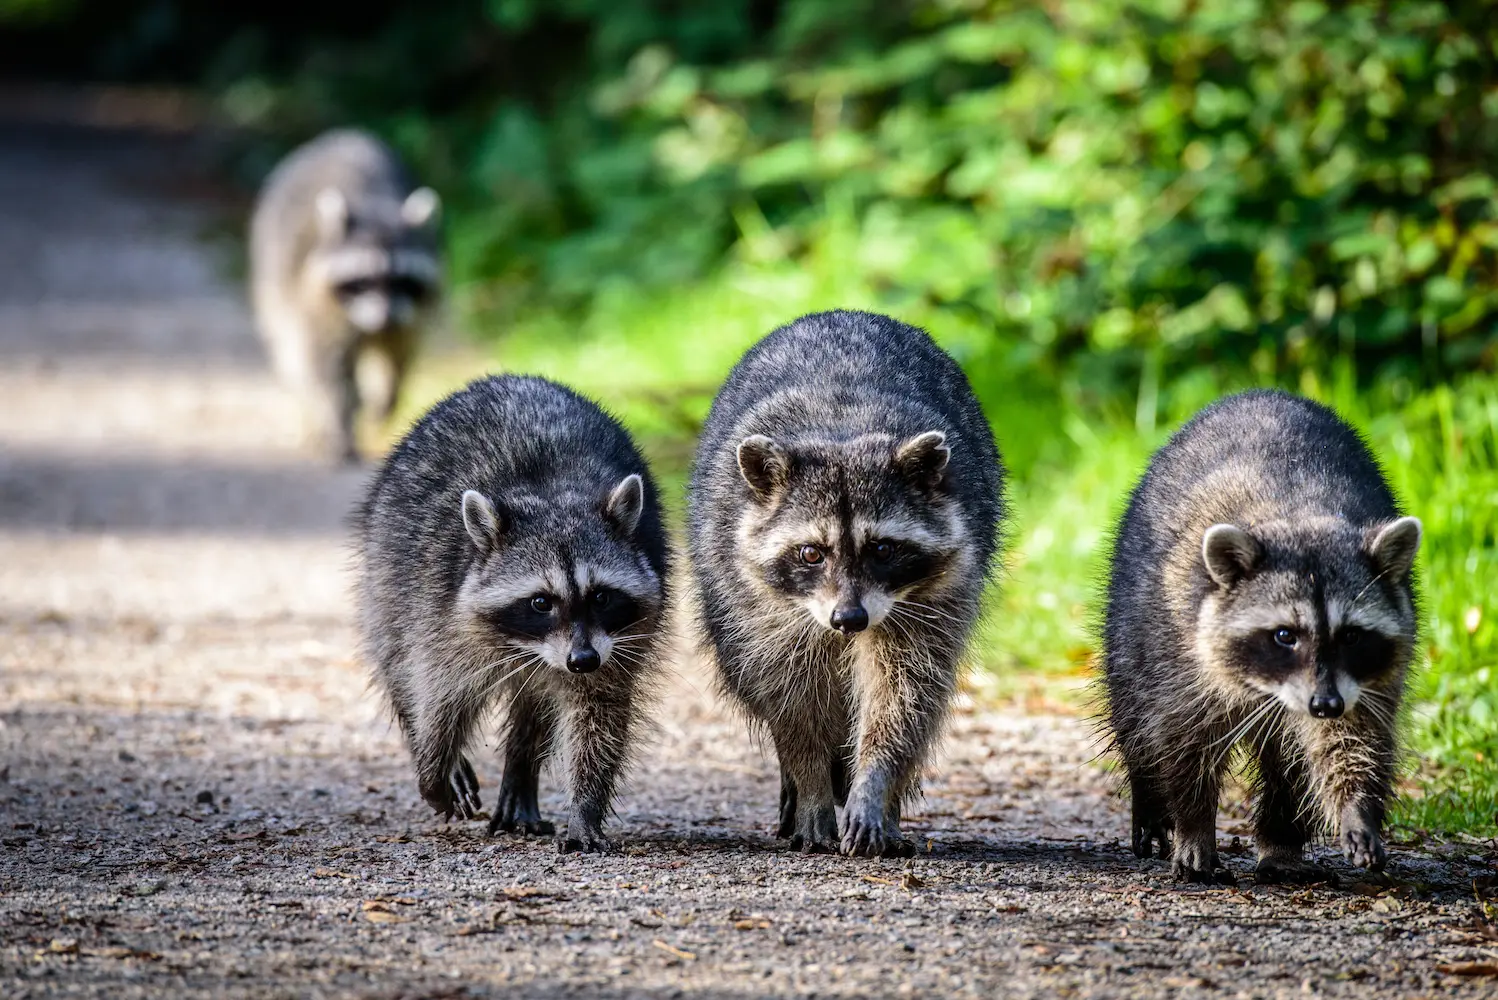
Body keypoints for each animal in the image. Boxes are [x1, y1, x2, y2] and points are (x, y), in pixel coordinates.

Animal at [250, 128, 442, 463]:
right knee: (295, 354)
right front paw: (338, 422)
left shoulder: (410, 311)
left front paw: (388, 393)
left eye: (401, 279)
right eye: (362, 281)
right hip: (272, 274)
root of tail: (343, 136)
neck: (377, 204)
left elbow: (399, 352)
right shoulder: (316, 302)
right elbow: (328, 367)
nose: (384, 319)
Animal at [354, 375, 669, 852]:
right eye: (541, 602)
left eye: (600, 597)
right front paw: (434, 767)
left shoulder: (619, 641)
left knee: (534, 709)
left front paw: (585, 806)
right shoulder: (438, 607)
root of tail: (513, 378)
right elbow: (438, 693)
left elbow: (597, 716)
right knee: (396, 659)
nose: (582, 660)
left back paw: (521, 773)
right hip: (386, 568)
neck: (552, 496)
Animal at [688, 310, 1005, 857]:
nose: (849, 619)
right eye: (811, 553)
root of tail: (841, 313)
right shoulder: (761, 610)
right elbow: (792, 701)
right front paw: (813, 786)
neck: (842, 432)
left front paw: (875, 783)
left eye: (882, 550)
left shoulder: (933, 598)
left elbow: (904, 693)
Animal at [1102, 389, 1421, 884]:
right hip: (1133, 618)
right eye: (1285, 635)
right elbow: (1182, 736)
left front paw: (1356, 807)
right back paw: (1150, 797)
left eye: (1351, 635)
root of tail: (1257, 393)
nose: (1324, 704)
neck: (1299, 513)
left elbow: (1351, 738)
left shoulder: (1366, 680)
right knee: (1134, 710)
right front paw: (1193, 825)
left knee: (1289, 765)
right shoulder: (1180, 648)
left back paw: (1281, 843)